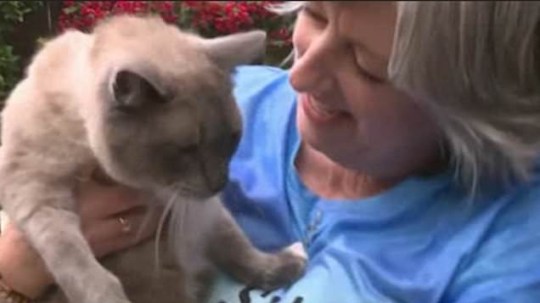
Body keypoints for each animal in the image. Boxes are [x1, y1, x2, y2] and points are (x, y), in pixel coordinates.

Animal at [0, 15, 306, 303]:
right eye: (187, 148)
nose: (220, 184)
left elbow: (236, 243)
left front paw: (283, 264)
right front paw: (110, 298)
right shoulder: (36, 191)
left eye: (233, 138)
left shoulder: (190, 203)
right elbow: (78, 262)